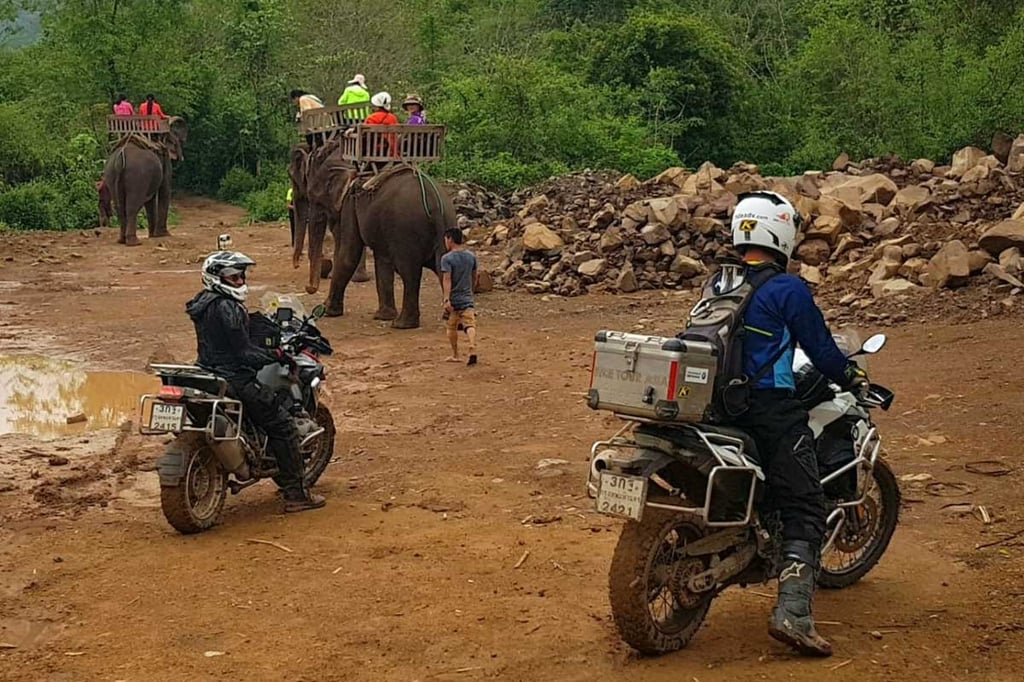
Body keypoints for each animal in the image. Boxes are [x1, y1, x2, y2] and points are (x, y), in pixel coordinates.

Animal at [101, 116, 188, 244]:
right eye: (178, 142)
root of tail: (121, 157)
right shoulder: (164, 158)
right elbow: (164, 190)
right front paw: (163, 235)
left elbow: (151, 199)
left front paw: (153, 235)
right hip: (137, 176)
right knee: (132, 206)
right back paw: (134, 242)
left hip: (111, 173)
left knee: (119, 207)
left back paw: (122, 240)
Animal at [303, 140, 456, 327]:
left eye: (314, 196)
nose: (309, 289)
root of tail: (435, 203)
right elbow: (382, 259)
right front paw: (383, 316)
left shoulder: (349, 203)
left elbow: (348, 255)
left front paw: (328, 311)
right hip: (446, 227)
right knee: (443, 267)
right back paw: (449, 316)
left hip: (405, 231)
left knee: (409, 271)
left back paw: (402, 324)